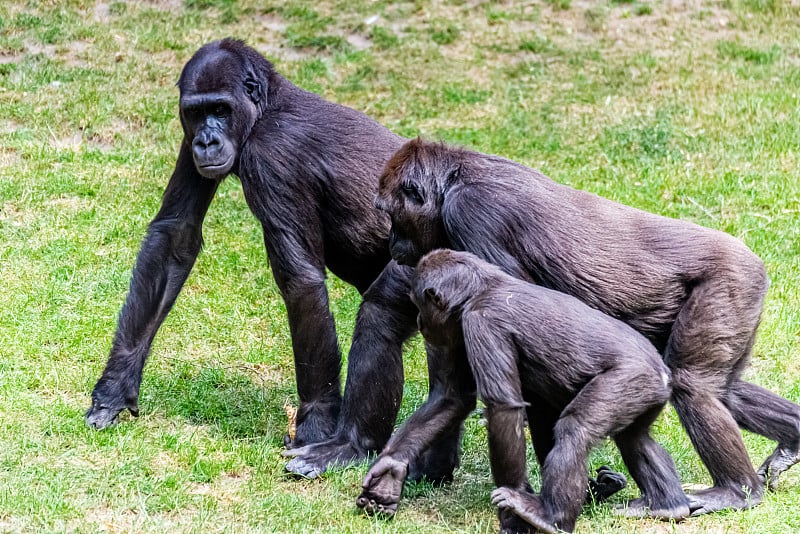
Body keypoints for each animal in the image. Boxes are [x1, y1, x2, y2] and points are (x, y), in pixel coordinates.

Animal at [83, 39, 632, 500]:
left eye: (221, 109)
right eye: (197, 113)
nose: (207, 142)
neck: (266, 109)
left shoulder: (272, 158)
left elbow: (302, 285)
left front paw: (316, 425)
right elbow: (174, 236)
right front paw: (114, 389)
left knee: (381, 314)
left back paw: (354, 444)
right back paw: (435, 463)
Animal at [360, 251, 692, 534]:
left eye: (418, 304)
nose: (419, 321)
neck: (478, 290)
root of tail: (663, 373)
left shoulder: (481, 324)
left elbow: (502, 409)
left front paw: (512, 518)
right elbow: (452, 398)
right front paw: (389, 471)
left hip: (629, 378)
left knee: (576, 431)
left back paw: (550, 517)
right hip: (645, 392)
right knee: (635, 438)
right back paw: (667, 506)